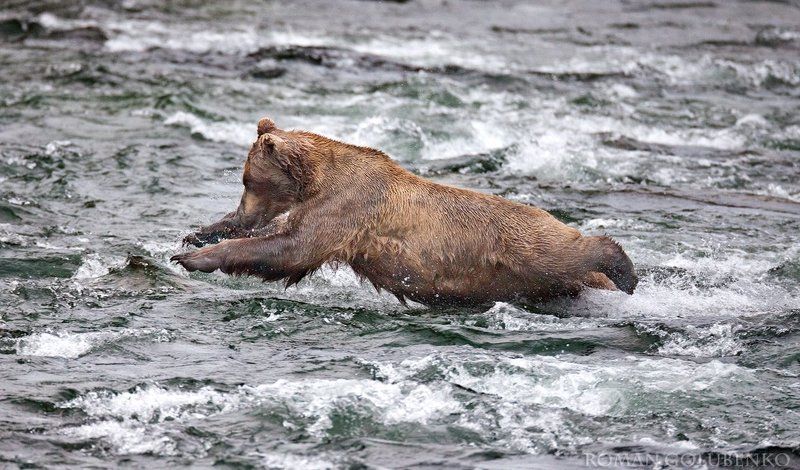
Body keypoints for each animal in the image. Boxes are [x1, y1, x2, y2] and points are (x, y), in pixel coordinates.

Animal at [171, 117, 637, 307]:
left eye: (248, 180)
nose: (242, 212)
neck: (316, 180)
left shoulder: (347, 208)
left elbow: (291, 249)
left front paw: (194, 258)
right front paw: (196, 235)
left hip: (519, 247)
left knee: (564, 252)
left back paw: (625, 272)